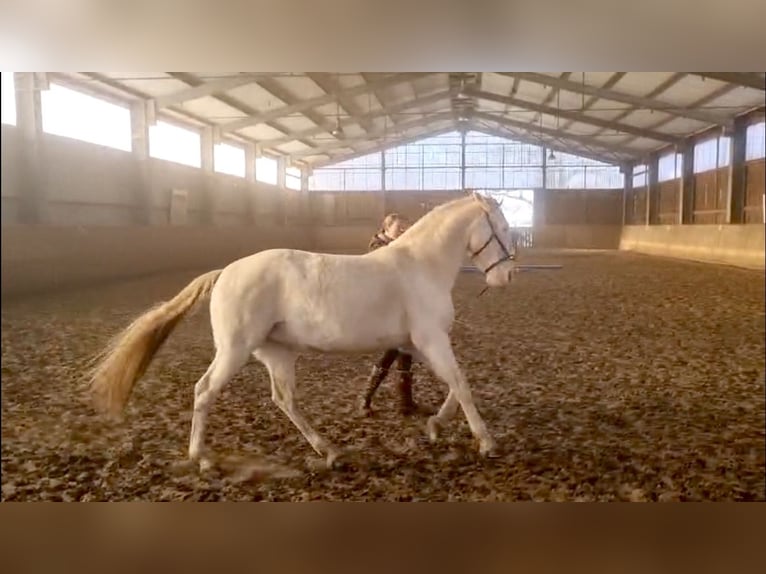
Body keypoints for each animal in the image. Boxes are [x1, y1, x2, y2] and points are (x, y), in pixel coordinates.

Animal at [86, 191, 518, 470]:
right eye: (503, 227)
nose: (506, 277)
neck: (420, 266)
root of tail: (225, 272)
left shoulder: (418, 344)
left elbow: (453, 387)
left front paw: (434, 427)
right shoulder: (431, 339)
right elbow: (461, 385)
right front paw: (487, 443)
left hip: (276, 352)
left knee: (284, 400)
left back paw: (330, 452)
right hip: (235, 349)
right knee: (205, 391)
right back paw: (202, 458)